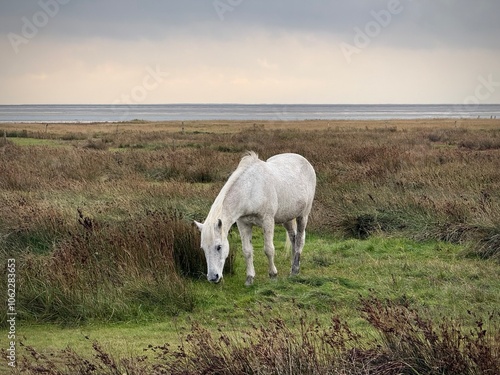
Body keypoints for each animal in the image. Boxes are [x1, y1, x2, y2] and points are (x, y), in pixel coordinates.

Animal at [195, 151, 316, 286]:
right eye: (203, 248)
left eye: (219, 247)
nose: (213, 277)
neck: (250, 190)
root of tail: (303, 160)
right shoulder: (243, 224)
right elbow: (247, 251)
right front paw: (249, 278)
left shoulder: (267, 221)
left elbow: (269, 249)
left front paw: (273, 275)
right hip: (287, 217)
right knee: (293, 237)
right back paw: (293, 266)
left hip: (303, 215)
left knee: (300, 239)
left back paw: (295, 269)